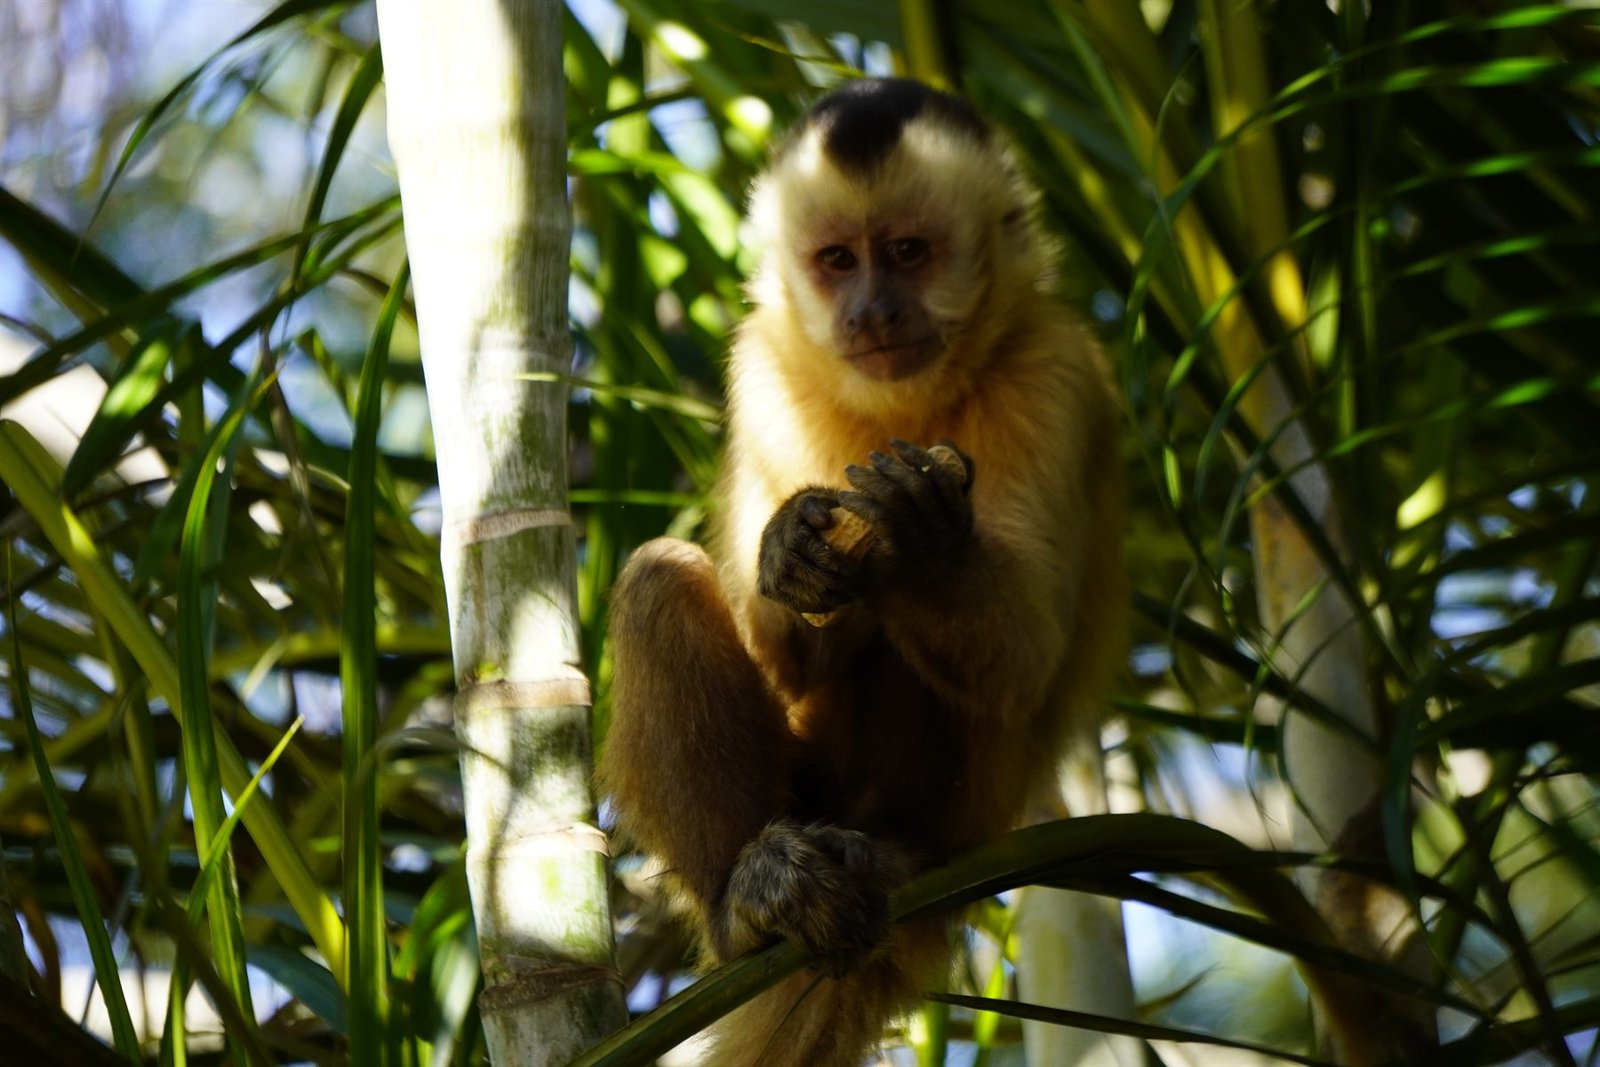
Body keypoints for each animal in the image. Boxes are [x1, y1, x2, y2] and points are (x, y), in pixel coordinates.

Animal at [598, 77, 1125, 1067]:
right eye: (838, 261)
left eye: (909, 254)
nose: (873, 312)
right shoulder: (760, 363)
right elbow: (780, 641)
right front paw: (787, 550)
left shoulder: (1057, 372)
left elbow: (1026, 660)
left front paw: (924, 540)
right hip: (803, 790)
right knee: (661, 580)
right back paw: (747, 902)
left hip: (968, 827)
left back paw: (895, 848)